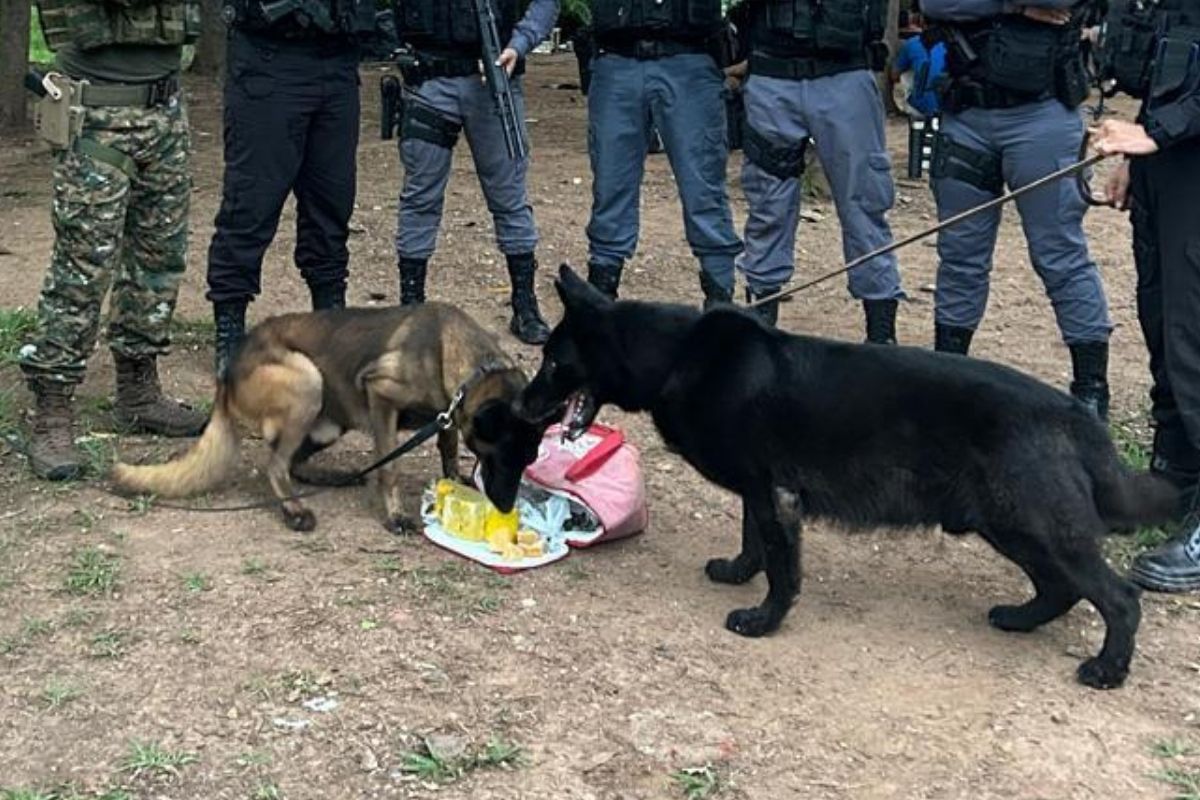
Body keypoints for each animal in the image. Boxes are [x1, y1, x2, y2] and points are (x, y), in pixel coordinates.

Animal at [110, 302, 542, 532]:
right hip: (308, 382)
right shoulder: (381, 395)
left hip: (329, 424)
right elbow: (390, 468)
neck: (470, 365)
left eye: (527, 460)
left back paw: (330, 477)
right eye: (502, 457)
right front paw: (395, 514)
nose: (506, 507)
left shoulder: (447, 414)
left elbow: (448, 448)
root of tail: (227, 372)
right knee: (275, 465)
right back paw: (294, 510)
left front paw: (454, 481)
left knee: (293, 463)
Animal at [506, 267, 1180, 690]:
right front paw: (737, 573)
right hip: (1010, 526)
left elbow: (783, 568)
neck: (675, 357)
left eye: (553, 363)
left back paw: (1107, 670)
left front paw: (764, 621)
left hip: (1033, 524)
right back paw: (1020, 618)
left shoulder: (777, 497)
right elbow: (753, 542)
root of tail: (1076, 417)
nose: (520, 407)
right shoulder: (760, 492)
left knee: (1120, 597)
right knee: (1062, 587)